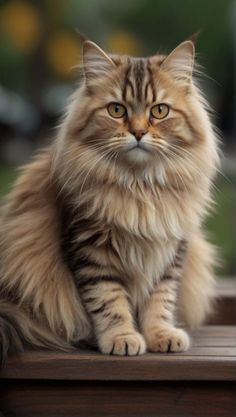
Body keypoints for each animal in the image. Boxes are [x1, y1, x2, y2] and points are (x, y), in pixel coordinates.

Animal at [0, 38, 219, 360]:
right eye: (117, 110)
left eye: (160, 111)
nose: (138, 132)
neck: (140, 189)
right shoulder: (91, 252)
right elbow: (109, 302)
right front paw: (122, 337)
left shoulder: (171, 253)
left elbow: (161, 300)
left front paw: (161, 335)